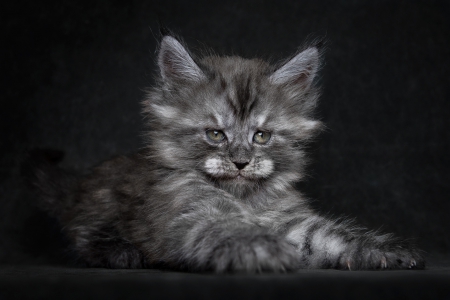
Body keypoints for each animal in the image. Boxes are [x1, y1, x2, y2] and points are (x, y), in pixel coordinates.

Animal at [25, 34, 426, 272]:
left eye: (261, 136)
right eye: (216, 134)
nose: (241, 161)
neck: (243, 198)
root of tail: (77, 188)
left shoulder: (288, 220)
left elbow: (331, 236)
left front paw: (382, 249)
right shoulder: (188, 214)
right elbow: (227, 228)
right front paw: (263, 249)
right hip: (98, 208)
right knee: (84, 236)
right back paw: (121, 252)